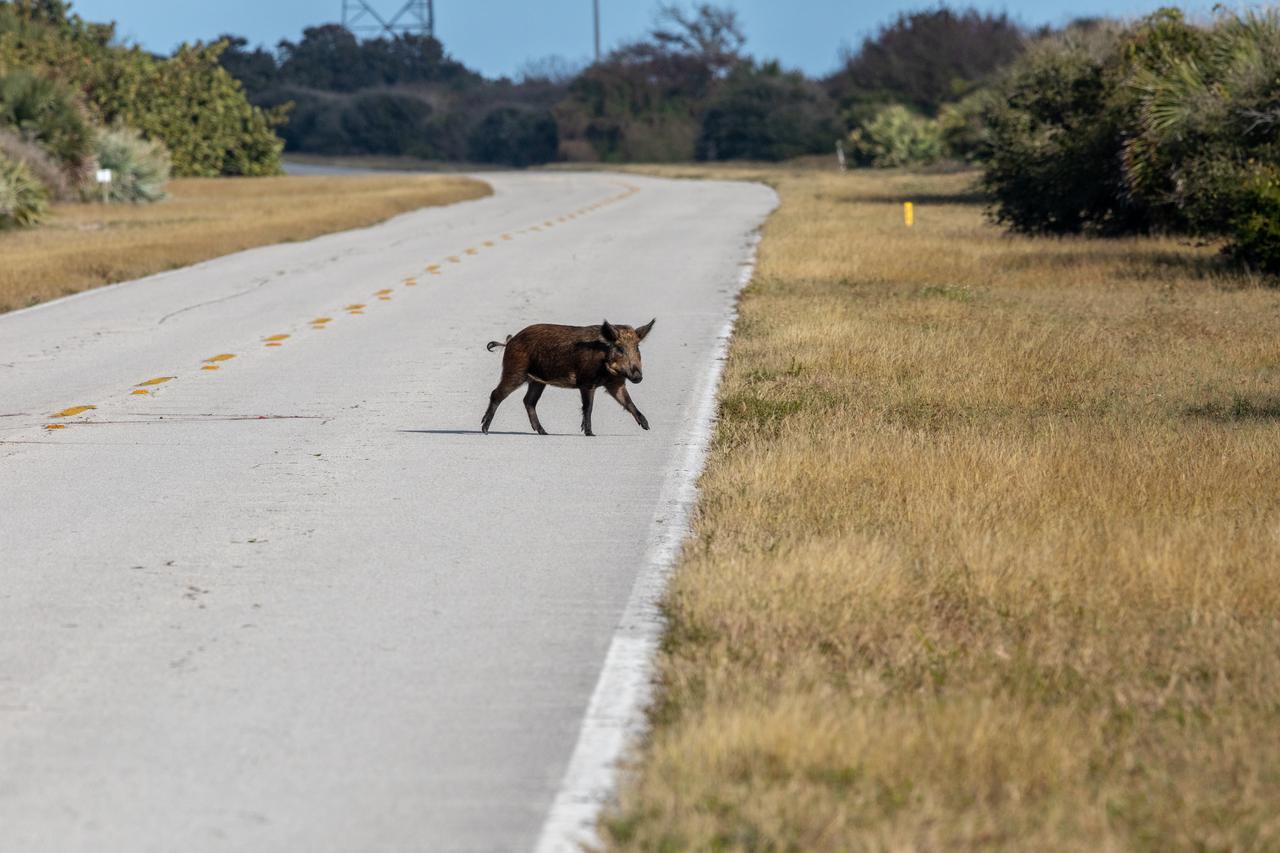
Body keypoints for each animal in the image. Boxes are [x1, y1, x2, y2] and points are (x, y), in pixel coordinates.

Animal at [482, 319, 656, 436]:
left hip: (537, 381)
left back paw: (544, 432)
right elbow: (588, 407)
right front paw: (591, 434)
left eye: (637, 348)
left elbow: (628, 402)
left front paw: (647, 427)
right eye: (619, 348)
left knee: (528, 401)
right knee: (496, 394)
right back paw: (485, 430)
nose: (638, 377)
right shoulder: (586, 382)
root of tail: (510, 341)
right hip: (515, 370)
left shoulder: (616, 383)